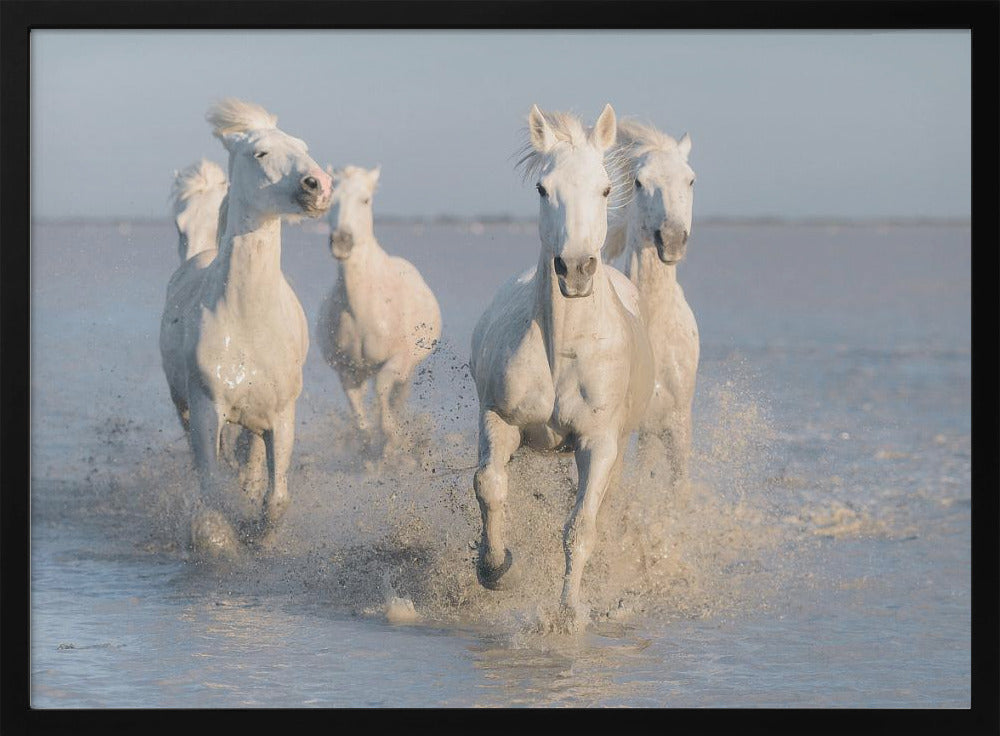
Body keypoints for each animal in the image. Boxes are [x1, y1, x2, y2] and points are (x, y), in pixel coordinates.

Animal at [159, 98, 333, 557]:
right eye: (261, 153)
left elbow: (276, 498)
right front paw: (222, 538)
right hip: (183, 405)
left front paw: (258, 532)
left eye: (302, 146)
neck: (247, 322)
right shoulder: (206, 410)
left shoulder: (281, 416)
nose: (320, 186)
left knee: (250, 456)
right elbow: (211, 495)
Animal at [315, 165, 442, 456]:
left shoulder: (398, 360)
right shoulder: (347, 370)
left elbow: (384, 392)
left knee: (397, 396)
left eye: (365, 200)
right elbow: (361, 420)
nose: (341, 242)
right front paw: (369, 447)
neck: (365, 308)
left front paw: (393, 441)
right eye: (330, 200)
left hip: (408, 369)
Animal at [469, 104, 654, 627]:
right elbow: (489, 485)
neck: (564, 350)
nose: (574, 270)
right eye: (542, 188)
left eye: (605, 188)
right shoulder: (499, 419)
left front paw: (570, 611)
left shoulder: (598, 442)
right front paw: (495, 567)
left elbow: (580, 526)